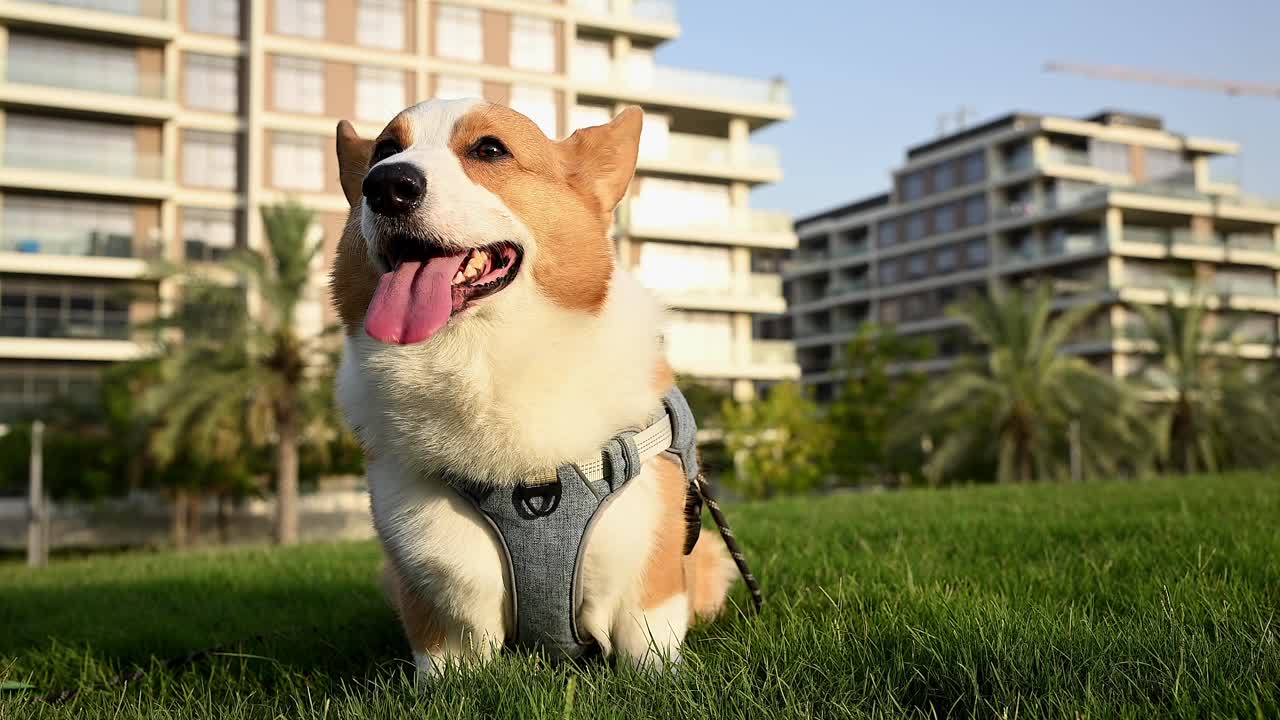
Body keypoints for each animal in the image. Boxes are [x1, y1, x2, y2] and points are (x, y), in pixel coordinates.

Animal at [325, 98, 737, 676]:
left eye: (490, 150)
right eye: (384, 150)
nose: (386, 185)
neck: (488, 363)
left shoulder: (647, 580)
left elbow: (649, 654)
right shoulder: (440, 608)